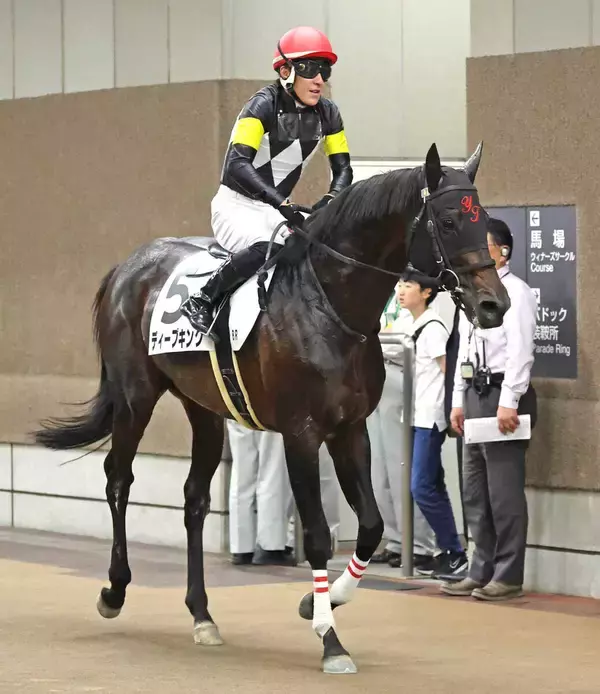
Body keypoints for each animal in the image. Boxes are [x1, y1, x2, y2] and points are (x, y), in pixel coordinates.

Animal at [32, 142, 509, 674]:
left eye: (481, 218)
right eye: (448, 222)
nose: (494, 305)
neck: (329, 306)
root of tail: (127, 267)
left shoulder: (350, 429)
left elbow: (370, 524)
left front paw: (321, 600)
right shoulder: (301, 433)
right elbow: (319, 535)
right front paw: (330, 639)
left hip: (203, 406)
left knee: (195, 499)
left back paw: (202, 615)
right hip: (136, 395)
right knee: (119, 478)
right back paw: (114, 590)